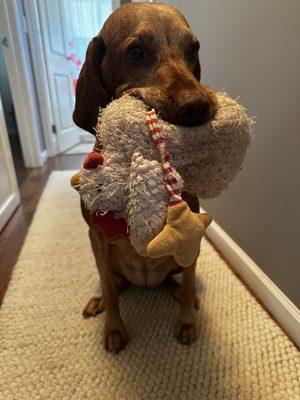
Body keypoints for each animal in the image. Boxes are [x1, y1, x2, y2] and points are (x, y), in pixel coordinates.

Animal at [74, 3, 217, 354]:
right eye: (136, 52)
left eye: (192, 49)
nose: (199, 106)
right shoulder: (96, 237)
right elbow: (109, 287)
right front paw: (114, 328)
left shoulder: (192, 234)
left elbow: (189, 279)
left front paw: (187, 322)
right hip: (109, 259)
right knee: (114, 283)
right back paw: (99, 300)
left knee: (177, 280)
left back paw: (183, 296)